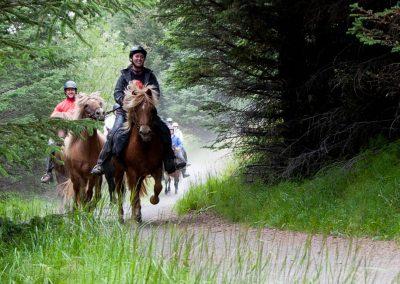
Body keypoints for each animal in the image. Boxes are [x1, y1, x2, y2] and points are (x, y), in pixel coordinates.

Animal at [111, 81, 163, 223]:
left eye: (152, 110)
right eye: (136, 110)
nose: (145, 132)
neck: (143, 147)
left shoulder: (156, 168)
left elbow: (158, 187)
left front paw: (153, 200)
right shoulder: (132, 171)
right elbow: (133, 194)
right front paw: (135, 216)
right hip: (119, 172)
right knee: (120, 191)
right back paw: (121, 217)